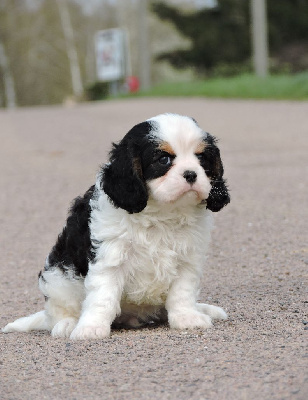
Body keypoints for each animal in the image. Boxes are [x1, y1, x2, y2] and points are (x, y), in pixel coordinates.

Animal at [2, 113, 230, 340]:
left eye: (202, 158)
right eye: (163, 159)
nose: (191, 174)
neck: (162, 212)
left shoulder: (188, 258)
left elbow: (182, 292)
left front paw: (187, 317)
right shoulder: (110, 257)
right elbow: (102, 296)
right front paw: (91, 327)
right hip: (58, 280)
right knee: (58, 312)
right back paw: (67, 324)